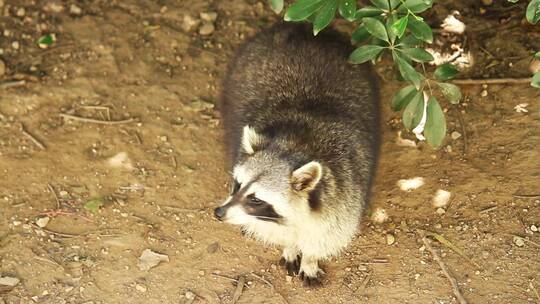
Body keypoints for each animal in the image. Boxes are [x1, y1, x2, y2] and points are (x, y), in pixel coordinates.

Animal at [214, 22, 380, 286]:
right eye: (237, 184)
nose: (218, 213)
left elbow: (328, 232)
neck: (294, 147)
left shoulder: (345, 194)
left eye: (256, 199)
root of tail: (298, 28)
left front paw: (310, 258)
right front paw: (290, 245)